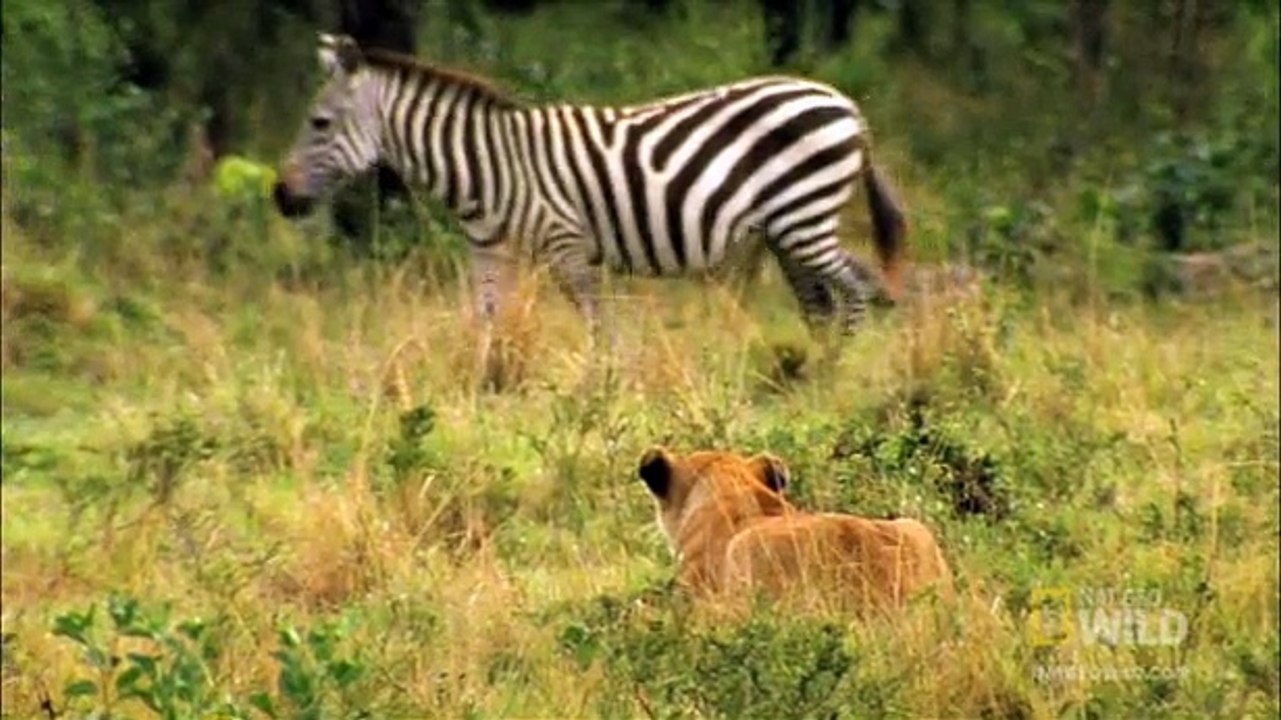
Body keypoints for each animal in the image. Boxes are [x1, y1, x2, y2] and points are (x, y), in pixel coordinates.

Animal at [273, 33, 908, 340]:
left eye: (318, 123)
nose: (280, 197)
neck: (484, 165)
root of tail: (846, 104)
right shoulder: (491, 251)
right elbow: (487, 326)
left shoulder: (565, 245)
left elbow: (602, 330)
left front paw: (607, 399)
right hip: (786, 229)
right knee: (821, 303)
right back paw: (810, 380)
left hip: (803, 217)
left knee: (856, 287)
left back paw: (834, 379)